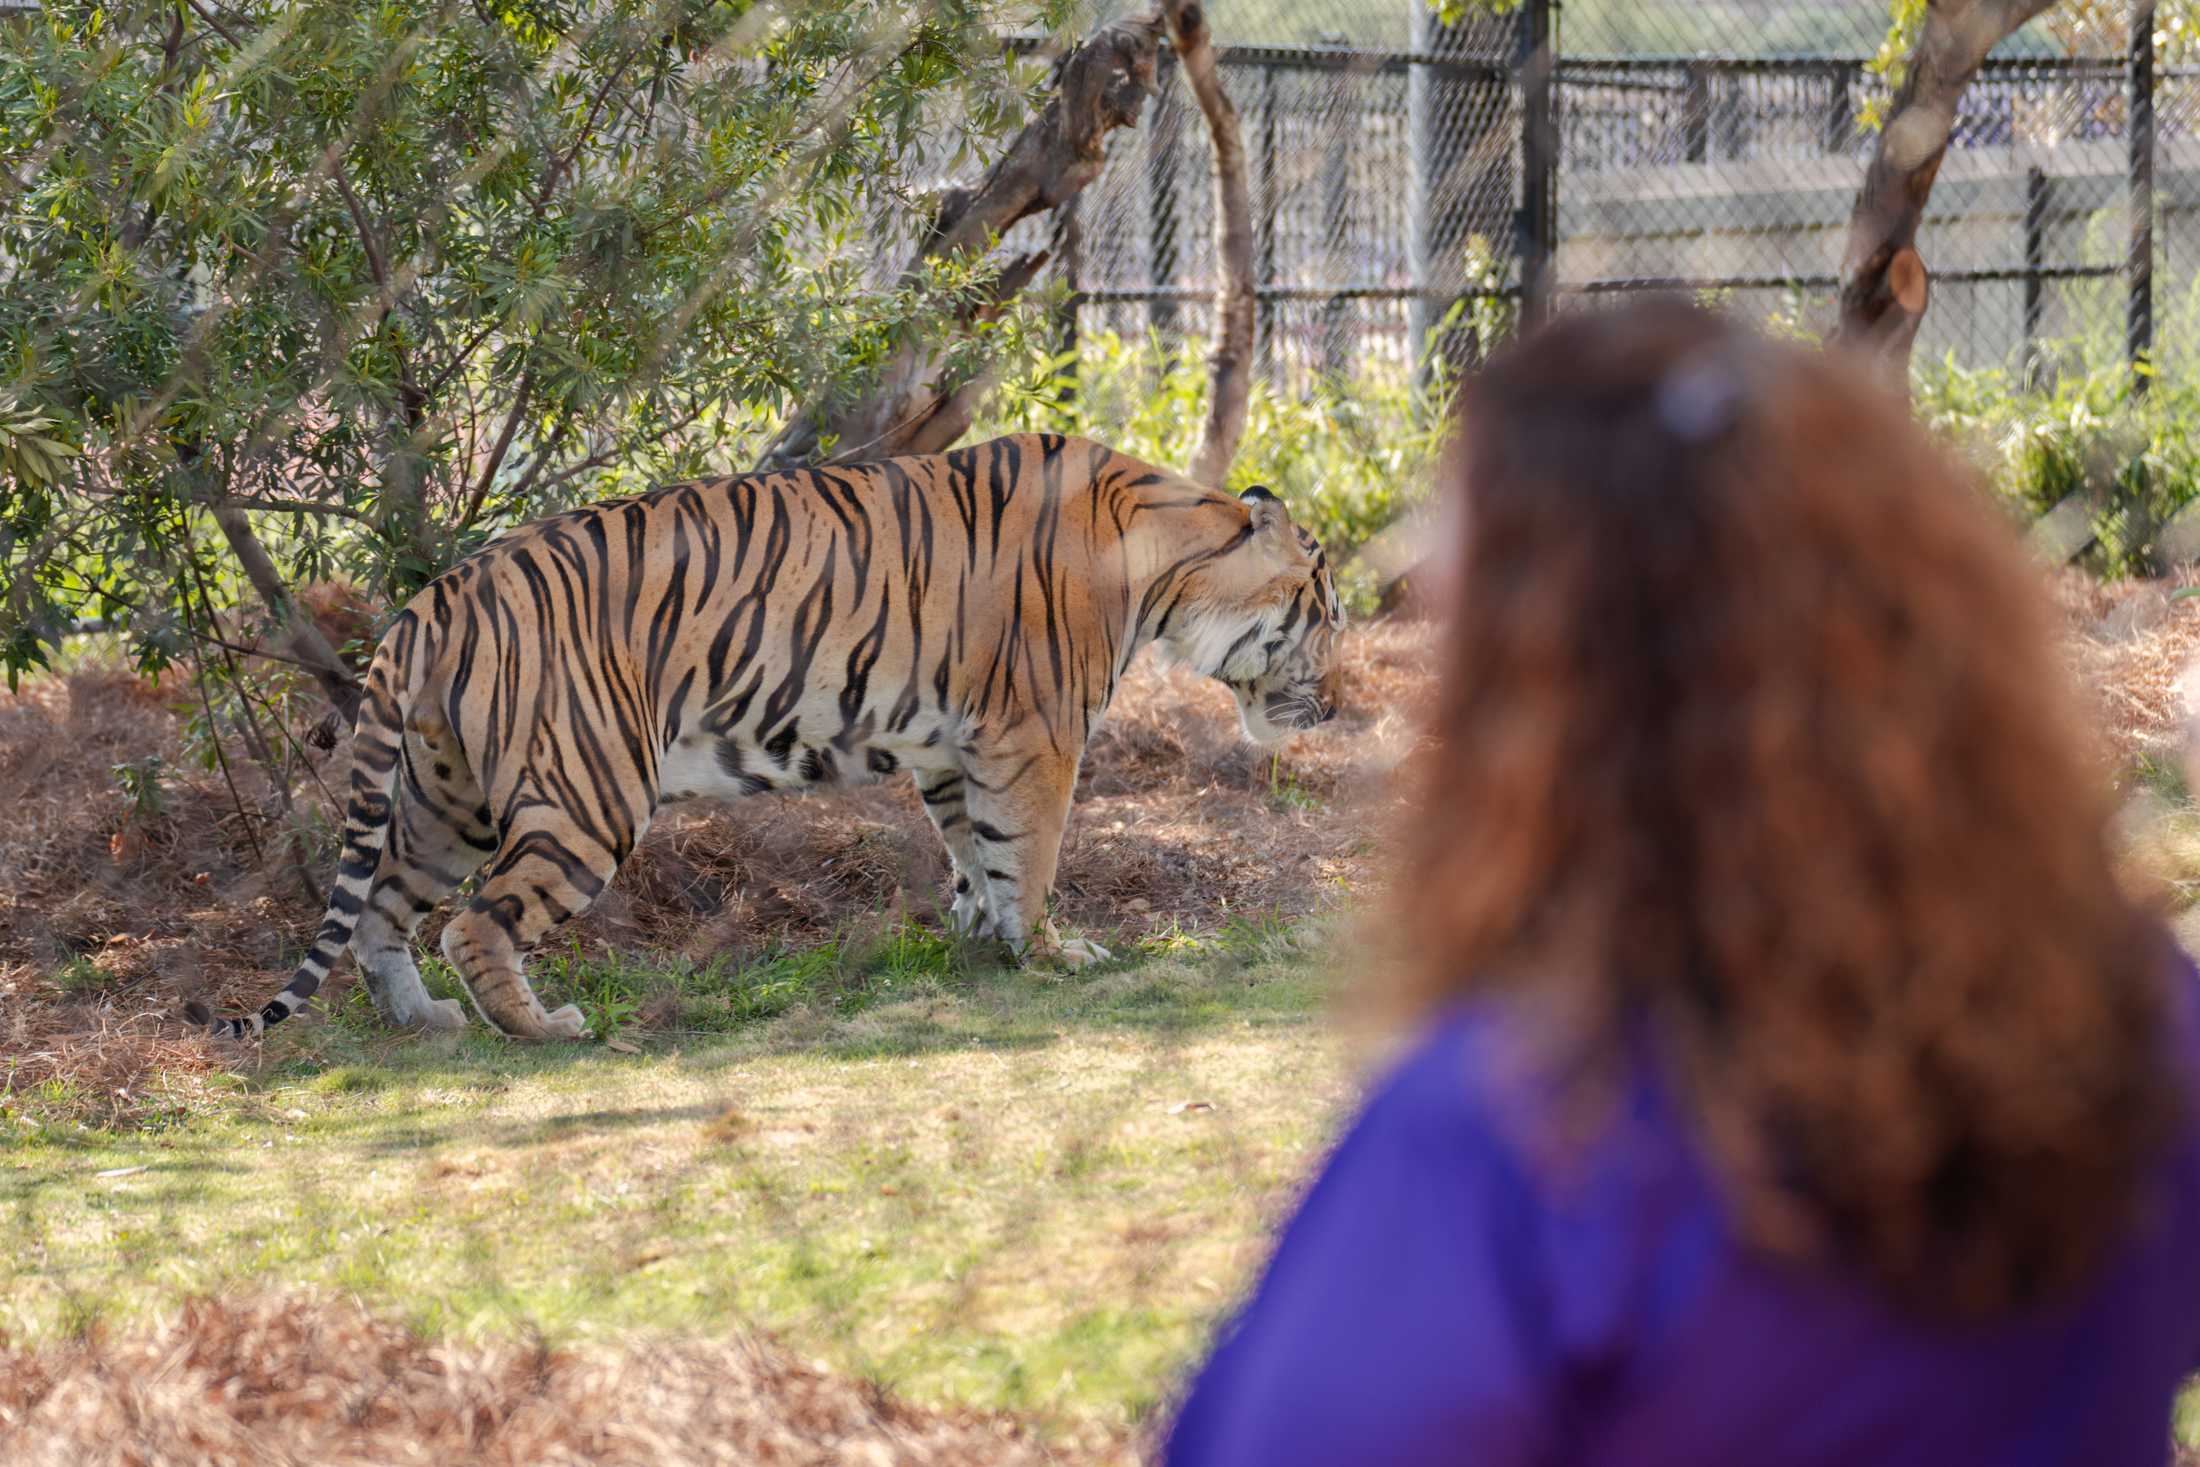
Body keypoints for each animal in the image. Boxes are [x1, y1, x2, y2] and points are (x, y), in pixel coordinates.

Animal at [189, 431, 1346, 1038]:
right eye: (1325, 616)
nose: (1336, 702)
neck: (1167, 559)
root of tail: (439, 593)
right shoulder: (1035, 735)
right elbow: (1032, 856)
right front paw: (1054, 952)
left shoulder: (953, 750)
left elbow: (976, 855)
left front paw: (982, 941)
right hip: (588, 799)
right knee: (475, 922)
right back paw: (543, 1026)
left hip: (445, 800)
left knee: (384, 905)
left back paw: (423, 1020)